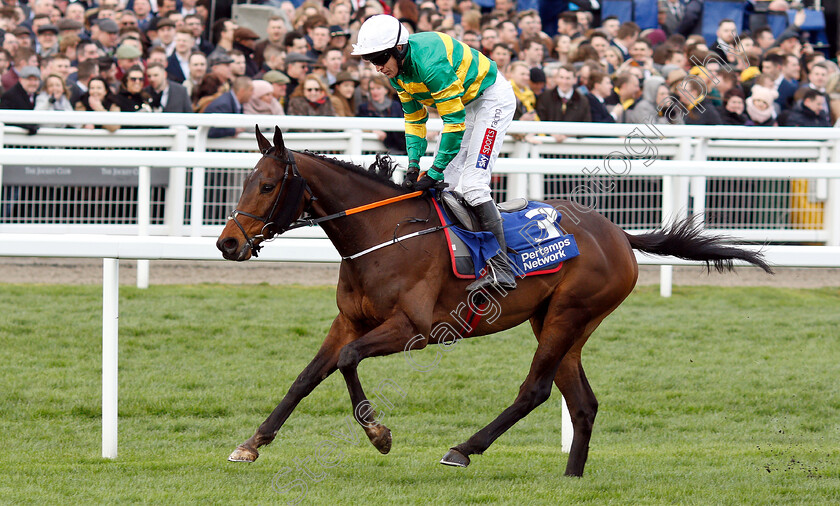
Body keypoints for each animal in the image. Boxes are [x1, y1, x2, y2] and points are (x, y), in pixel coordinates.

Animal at [217, 127, 776, 478]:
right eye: (244, 182)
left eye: (267, 184)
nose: (227, 244)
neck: (381, 235)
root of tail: (618, 233)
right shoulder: (349, 320)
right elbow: (308, 376)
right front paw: (252, 443)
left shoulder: (414, 329)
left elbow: (349, 362)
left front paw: (379, 433)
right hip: (558, 323)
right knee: (583, 402)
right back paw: (571, 478)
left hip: (570, 314)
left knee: (535, 390)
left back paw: (464, 449)